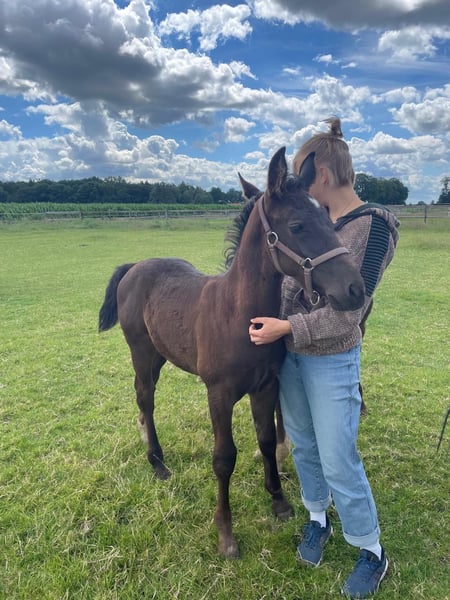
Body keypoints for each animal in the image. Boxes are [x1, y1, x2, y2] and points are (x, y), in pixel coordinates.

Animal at [98, 147, 365, 558]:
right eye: (297, 225)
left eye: (327, 217)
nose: (355, 289)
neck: (239, 315)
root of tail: (136, 266)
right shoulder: (219, 394)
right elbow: (224, 459)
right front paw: (225, 533)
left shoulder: (266, 386)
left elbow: (267, 440)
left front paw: (279, 502)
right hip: (142, 353)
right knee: (145, 399)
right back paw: (157, 463)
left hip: (160, 354)